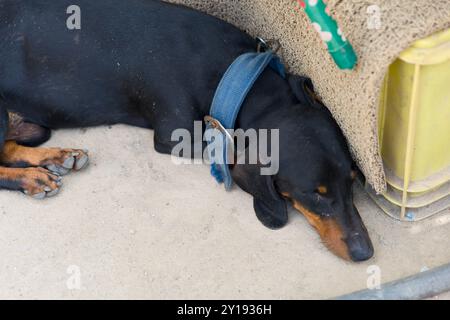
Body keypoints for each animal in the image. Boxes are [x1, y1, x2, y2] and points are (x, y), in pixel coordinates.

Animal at [0, 0, 372, 260]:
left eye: (353, 181)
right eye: (315, 194)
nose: (364, 253)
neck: (234, 77)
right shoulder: (174, 134)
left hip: (35, 127)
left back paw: (56, 158)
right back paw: (32, 178)